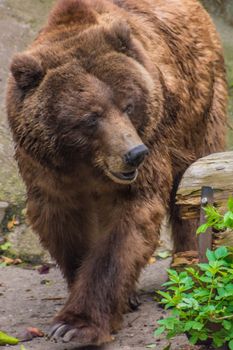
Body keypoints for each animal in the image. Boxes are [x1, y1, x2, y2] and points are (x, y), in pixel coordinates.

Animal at [5, 0, 228, 346]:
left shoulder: (151, 145)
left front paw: (75, 324)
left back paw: (188, 267)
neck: (85, 164)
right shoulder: (47, 172)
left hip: (198, 112)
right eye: (91, 117)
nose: (134, 153)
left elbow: (127, 226)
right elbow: (64, 226)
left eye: (128, 105)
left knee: (192, 193)